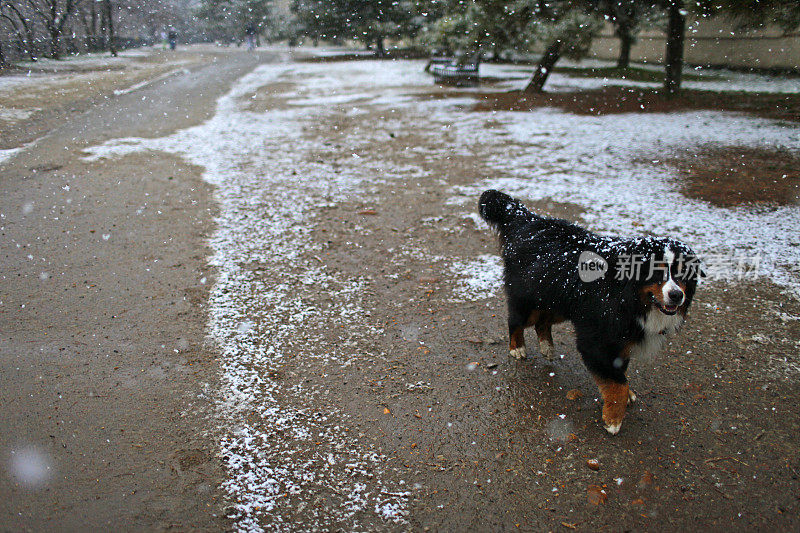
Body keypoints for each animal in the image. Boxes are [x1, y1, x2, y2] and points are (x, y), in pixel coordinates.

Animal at [478, 189, 704, 434]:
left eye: (682, 273)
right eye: (657, 272)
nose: (677, 295)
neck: (628, 297)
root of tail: (527, 219)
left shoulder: (621, 340)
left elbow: (619, 374)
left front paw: (623, 399)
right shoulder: (596, 340)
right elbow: (617, 383)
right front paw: (613, 419)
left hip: (560, 302)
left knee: (542, 322)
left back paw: (547, 347)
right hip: (529, 299)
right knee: (516, 320)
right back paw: (517, 348)